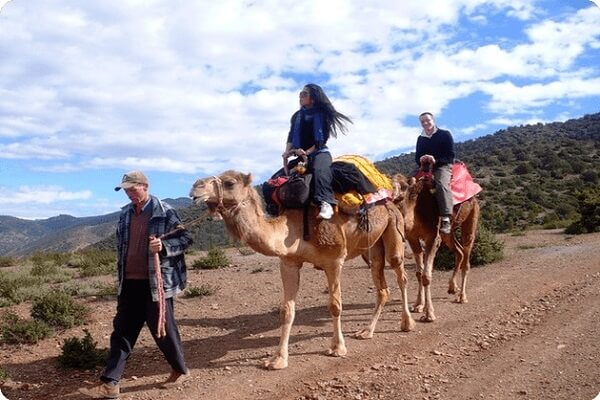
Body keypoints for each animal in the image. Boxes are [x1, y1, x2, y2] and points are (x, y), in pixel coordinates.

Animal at [190, 170, 414, 370]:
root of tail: (390, 200)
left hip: (394, 228)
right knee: (382, 285)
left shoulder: (334, 260)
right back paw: (366, 331)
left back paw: (408, 322)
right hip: (372, 246)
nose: (195, 188)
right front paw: (277, 360)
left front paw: (337, 348)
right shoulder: (288, 263)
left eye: (230, 182)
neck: (293, 230)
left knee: (400, 274)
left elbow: (335, 305)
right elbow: (286, 311)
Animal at [392, 172, 480, 322]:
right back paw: (452, 288)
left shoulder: (432, 238)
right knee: (459, 251)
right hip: (447, 232)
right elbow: (419, 273)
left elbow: (426, 275)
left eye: (403, 190)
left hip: (471, 217)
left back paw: (462, 297)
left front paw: (429, 314)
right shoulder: (412, 238)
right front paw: (418, 305)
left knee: (467, 255)